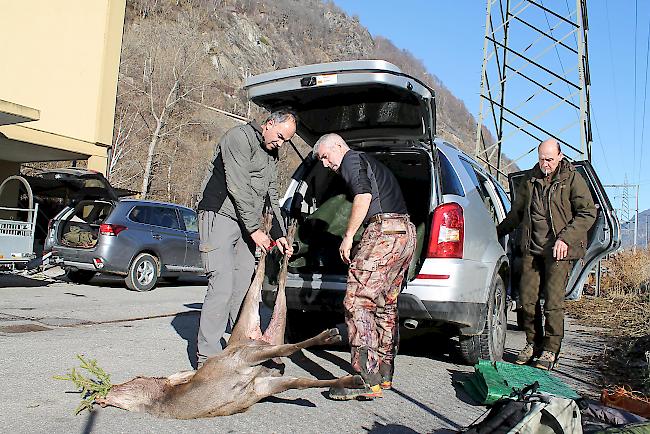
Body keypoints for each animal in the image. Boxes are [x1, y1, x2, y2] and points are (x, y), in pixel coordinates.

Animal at [95, 219, 364, 418]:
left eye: (133, 379)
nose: (103, 393)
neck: (164, 400)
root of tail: (254, 336)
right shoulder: (260, 387)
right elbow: (301, 383)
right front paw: (348, 381)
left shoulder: (240, 361)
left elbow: (291, 354)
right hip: (263, 330)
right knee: (279, 286)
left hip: (248, 344)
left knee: (281, 328)